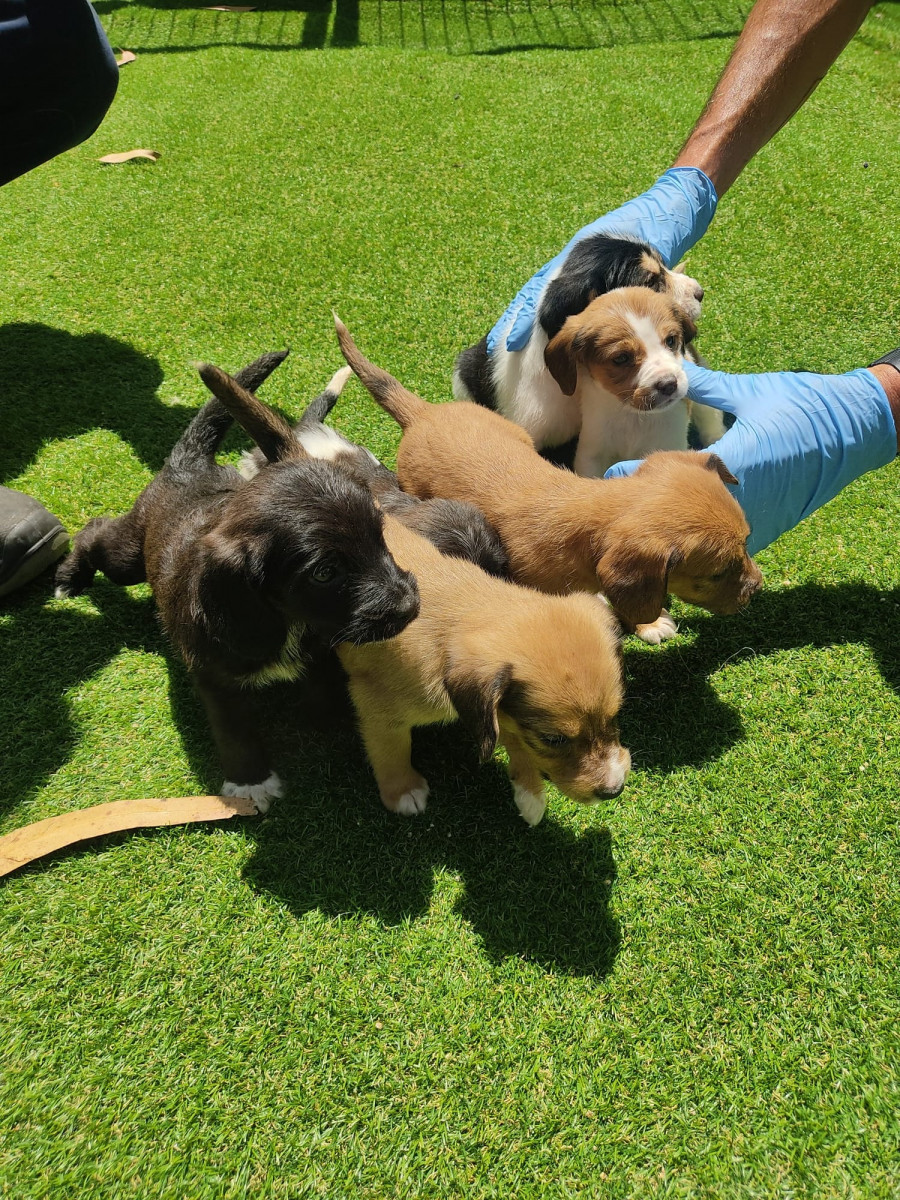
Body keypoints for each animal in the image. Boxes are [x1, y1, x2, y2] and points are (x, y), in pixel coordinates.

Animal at [54, 350, 422, 811]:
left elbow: (322, 686)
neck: (284, 619)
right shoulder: (215, 676)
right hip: (129, 557)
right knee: (96, 531)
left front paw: (327, 717)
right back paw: (68, 577)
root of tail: (190, 466)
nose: (410, 606)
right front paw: (250, 781)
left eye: (380, 536)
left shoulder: (321, 647)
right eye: (324, 573)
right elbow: (234, 730)